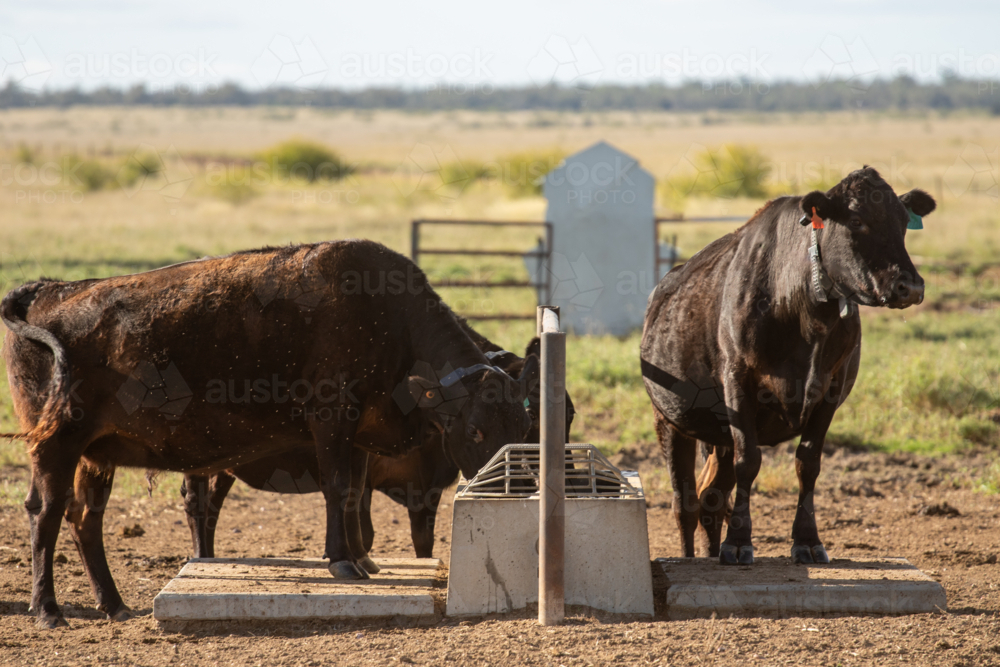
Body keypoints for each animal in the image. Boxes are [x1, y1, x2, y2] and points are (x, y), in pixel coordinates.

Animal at [1, 239, 536, 628]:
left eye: (524, 424)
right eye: (476, 429)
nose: (516, 489)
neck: (385, 318)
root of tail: (49, 289)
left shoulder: (359, 433)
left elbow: (352, 494)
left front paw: (364, 558)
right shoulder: (332, 417)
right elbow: (339, 489)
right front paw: (342, 561)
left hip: (96, 454)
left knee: (85, 519)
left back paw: (113, 604)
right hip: (57, 444)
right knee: (45, 514)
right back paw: (47, 610)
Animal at [179, 334, 577, 562]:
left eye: (570, 414)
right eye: (537, 418)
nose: (568, 475)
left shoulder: (425, 489)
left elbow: (423, 542)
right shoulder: (369, 472)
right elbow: (364, 527)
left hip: (226, 465)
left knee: (212, 508)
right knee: (196, 503)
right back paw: (200, 559)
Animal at [640, 167, 934, 565]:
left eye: (904, 222)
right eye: (857, 220)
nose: (910, 287)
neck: (805, 313)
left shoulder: (831, 388)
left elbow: (807, 463)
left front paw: (807, 541)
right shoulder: (738, 382)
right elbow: (749, 461)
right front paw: (738, 544)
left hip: (718, 434)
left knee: (710, 498)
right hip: (669, 420)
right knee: (684, 502)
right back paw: (689, 559)